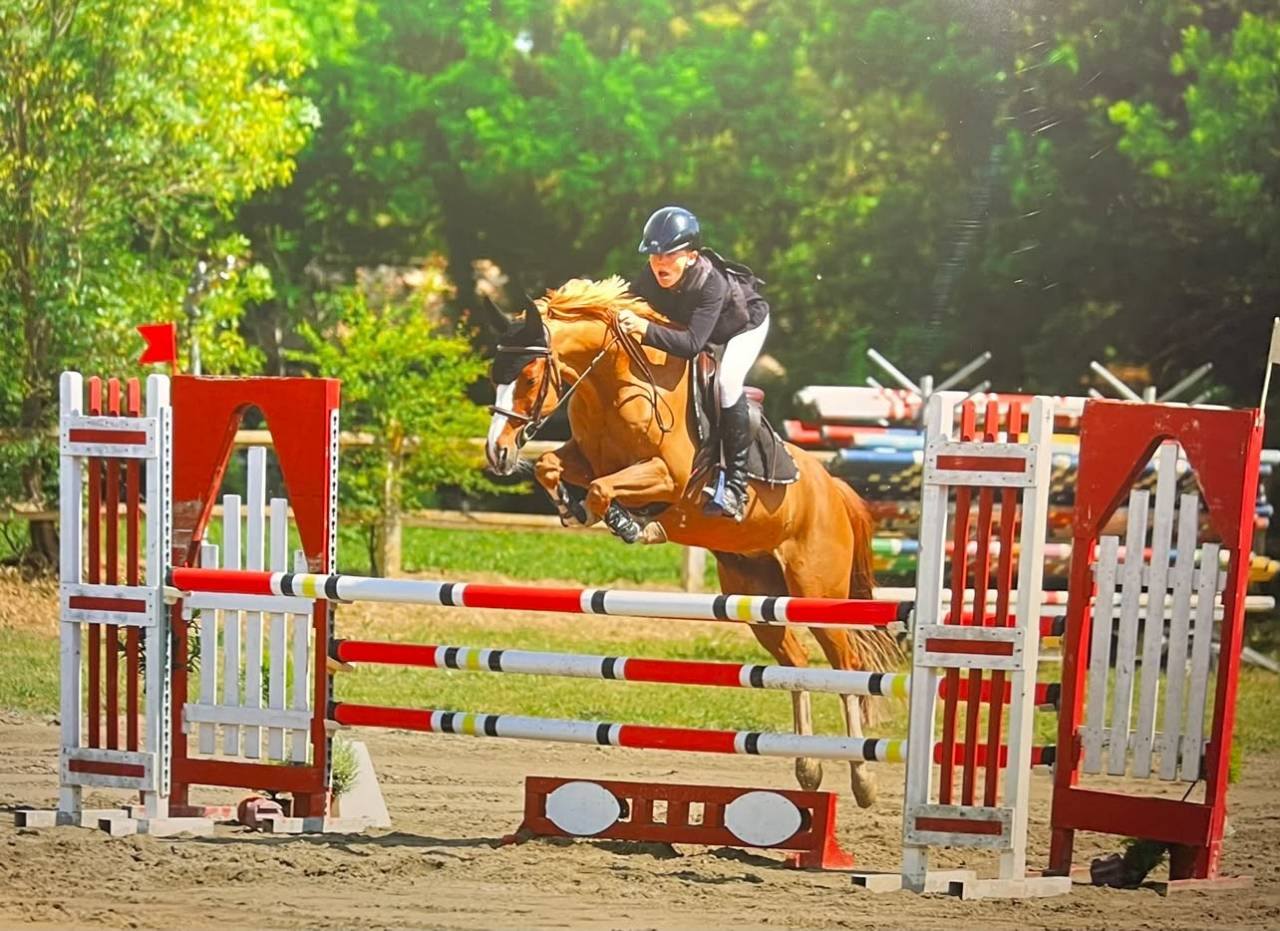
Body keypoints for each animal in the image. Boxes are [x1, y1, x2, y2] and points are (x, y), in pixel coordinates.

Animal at [483, 276, 898, 807]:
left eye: (531, 376)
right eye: (495, 372)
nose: (496, 453)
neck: (615, 386)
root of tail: (834, 489)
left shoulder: (669, 477)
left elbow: (604, 489)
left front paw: (633, 523)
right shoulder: (585, 459)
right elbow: (553, 467)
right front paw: (576, 511)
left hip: (817, 593)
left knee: (844, 666)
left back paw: (862, 780)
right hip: (756, 594)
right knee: (796, 662)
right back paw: (808, 768)